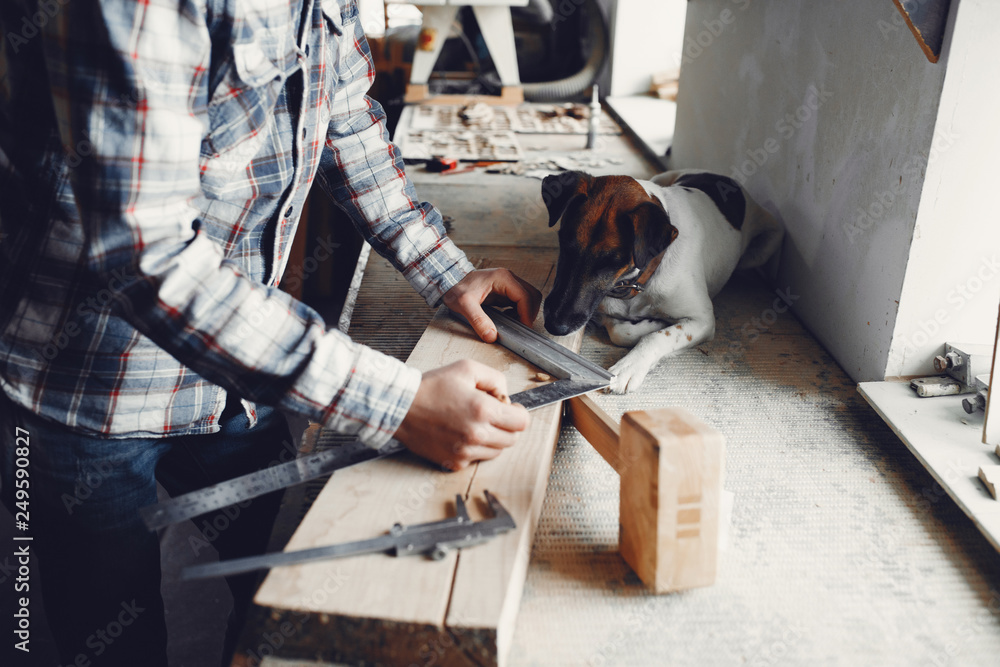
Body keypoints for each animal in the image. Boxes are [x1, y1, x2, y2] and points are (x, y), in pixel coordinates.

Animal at [540, 170, 780, 394]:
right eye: (564, 243)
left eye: (612, 262)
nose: (555, 326)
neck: (638, 280)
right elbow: (620, 331)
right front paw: (649, 323)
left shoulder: (702, 320)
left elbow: (657, 337)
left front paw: (630, 365)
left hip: (765, 247)